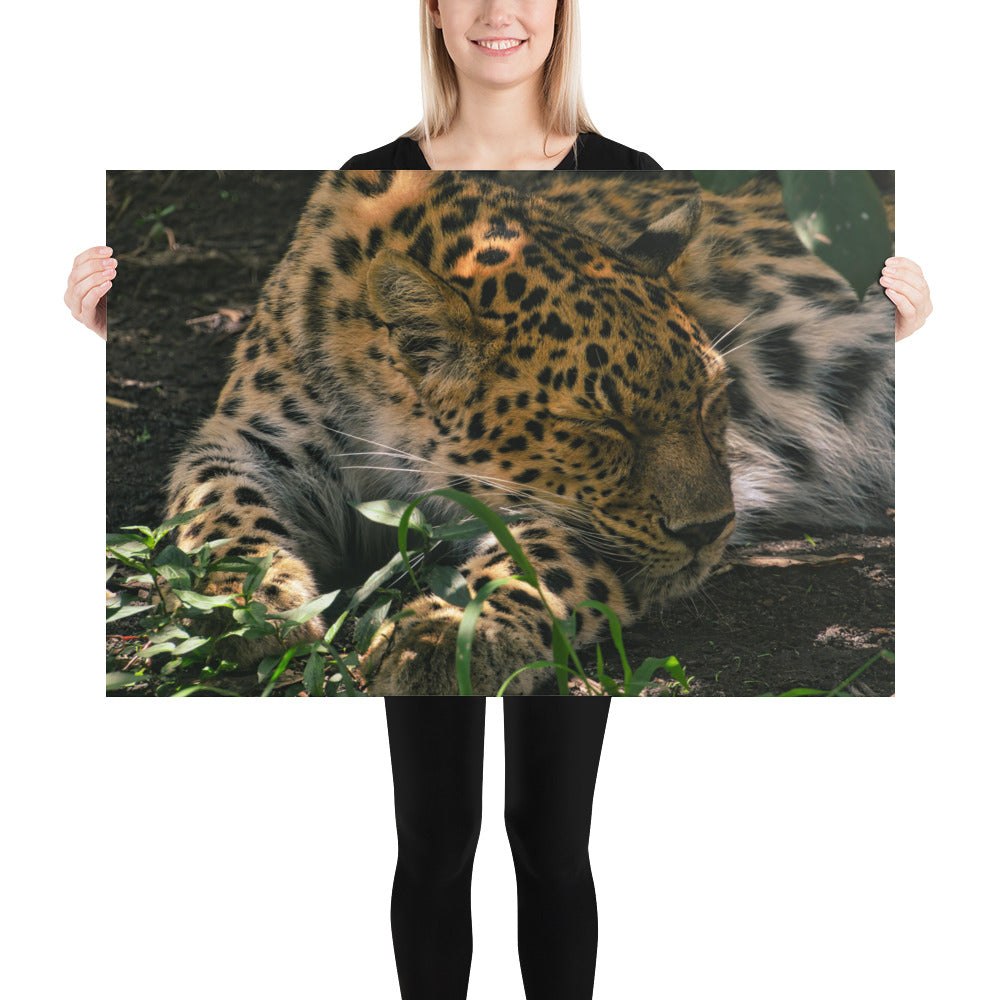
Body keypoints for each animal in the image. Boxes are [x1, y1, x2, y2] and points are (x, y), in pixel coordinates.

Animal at [164, 170, 894, 696]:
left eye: (714, 400)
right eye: (601, 426)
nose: (710, 531)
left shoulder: (581, 520)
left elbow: (528, 558)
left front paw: (449, 639)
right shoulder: (245, 437)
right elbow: (215, 508)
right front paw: (248, 601)